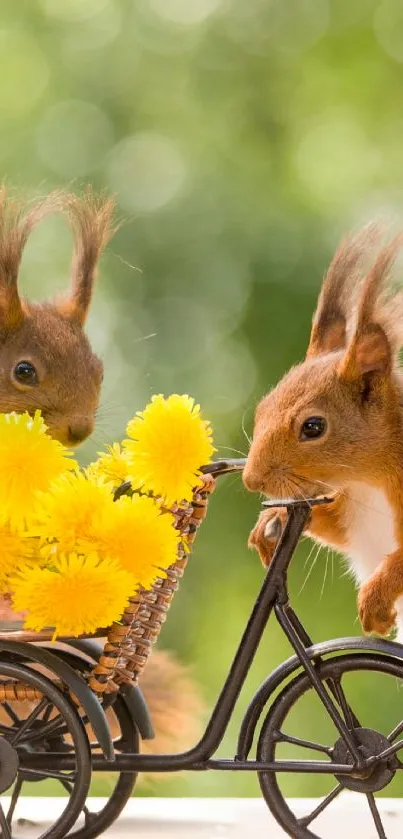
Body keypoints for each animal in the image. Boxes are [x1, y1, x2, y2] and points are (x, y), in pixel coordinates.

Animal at [245, 226, 403, 640]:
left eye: (313, 427)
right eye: (262, 408)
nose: (252, 481)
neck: (368, 481)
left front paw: (375, 604)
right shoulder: (354, 516)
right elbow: (334, 529)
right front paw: (275, 520)